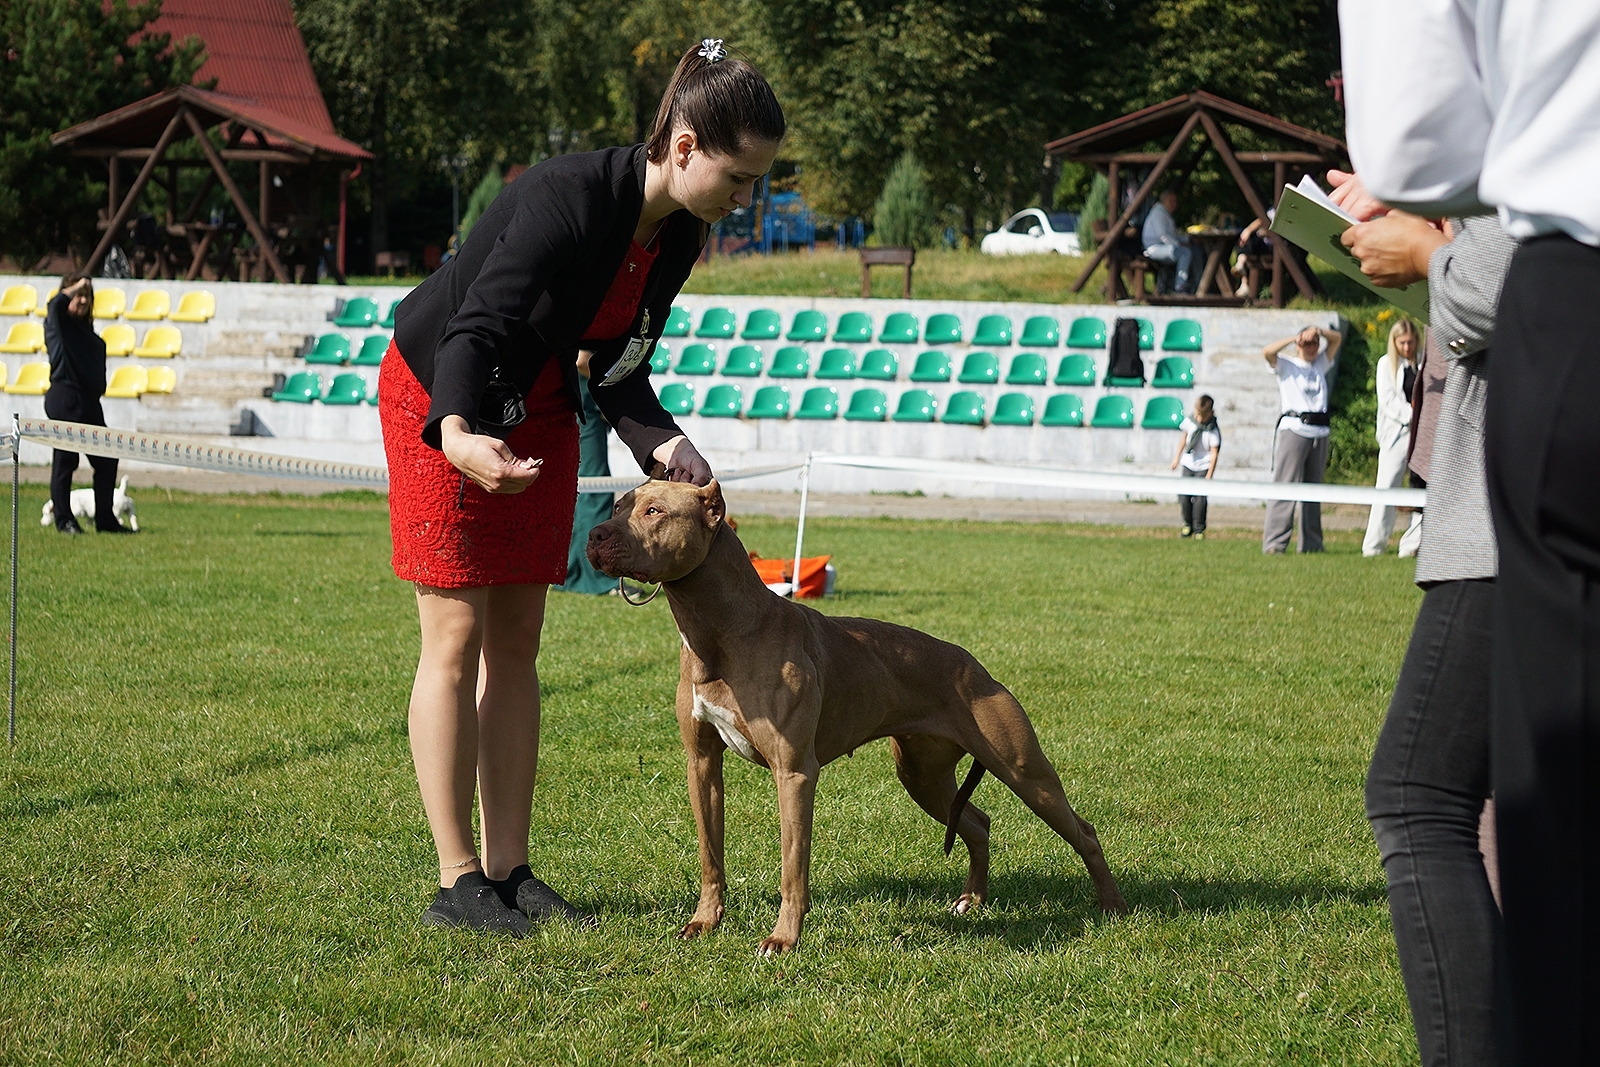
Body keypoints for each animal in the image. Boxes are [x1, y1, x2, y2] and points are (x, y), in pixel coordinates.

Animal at [587, 480, 1128, 955]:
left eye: (654, 511)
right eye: (617, 506)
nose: (594, 535)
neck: (722, 630)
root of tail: (976, 665)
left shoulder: (794, 772)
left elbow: (792, 865)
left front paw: (783, 940)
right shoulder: (701, 764)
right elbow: (710, 855)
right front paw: (705, 922)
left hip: (1022, 771)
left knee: (1082, 831)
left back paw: (1114, 907)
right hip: (922, 775)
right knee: (978, 822)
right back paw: (971, 900)